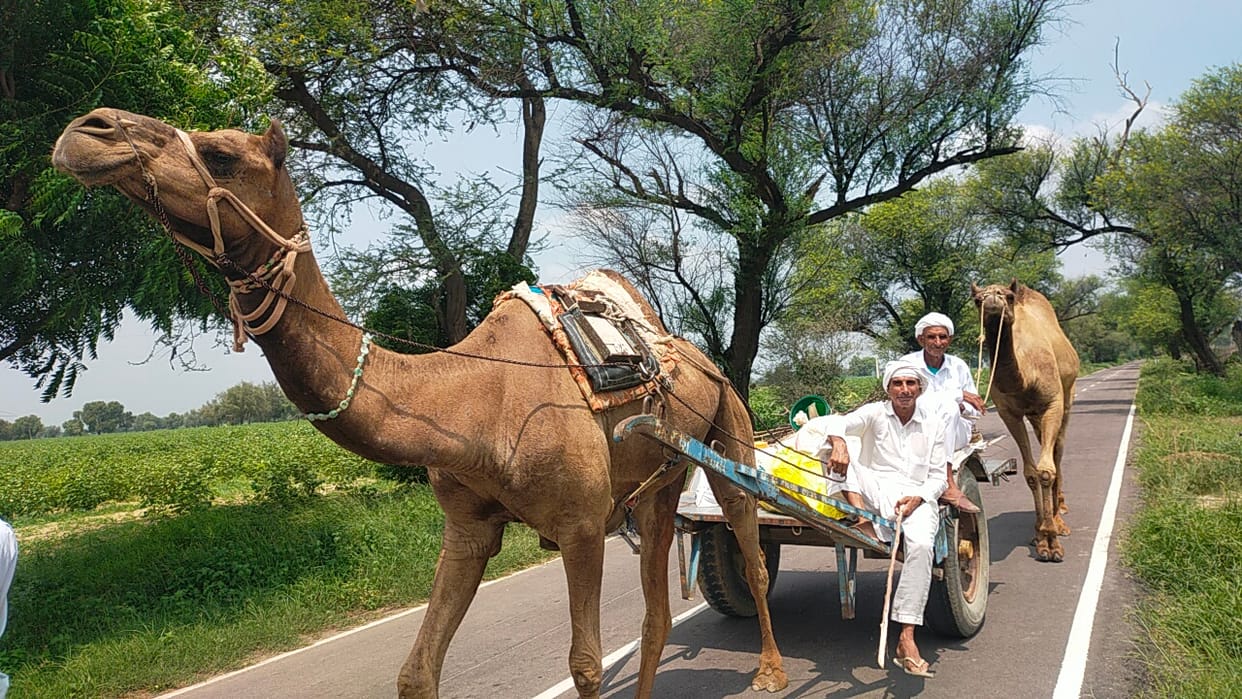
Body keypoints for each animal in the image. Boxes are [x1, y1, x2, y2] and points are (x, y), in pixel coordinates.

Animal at [52, 108, 788, 698]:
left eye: (221, 153)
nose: (86, 131)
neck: (469, 401)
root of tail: (695, 355)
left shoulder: (580, 524)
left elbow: (583, 664)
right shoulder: (467, 526)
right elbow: (415, 670)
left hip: (729, 427)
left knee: (749, 548)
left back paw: (771, 671)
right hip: (660, 477)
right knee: (658, 609)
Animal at [972, 280, 1079, 563]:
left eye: (1008, 296)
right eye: (976, 300)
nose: (993, 300)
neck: (1026, 378)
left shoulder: (1053, 404)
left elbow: (1046, 471)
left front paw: (1052, 542)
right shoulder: (1009, 413)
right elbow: (1031, 473)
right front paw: (1040, 536)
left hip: (1067, 401)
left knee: (1058, 453)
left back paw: (1060, 518)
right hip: (1034, 416)